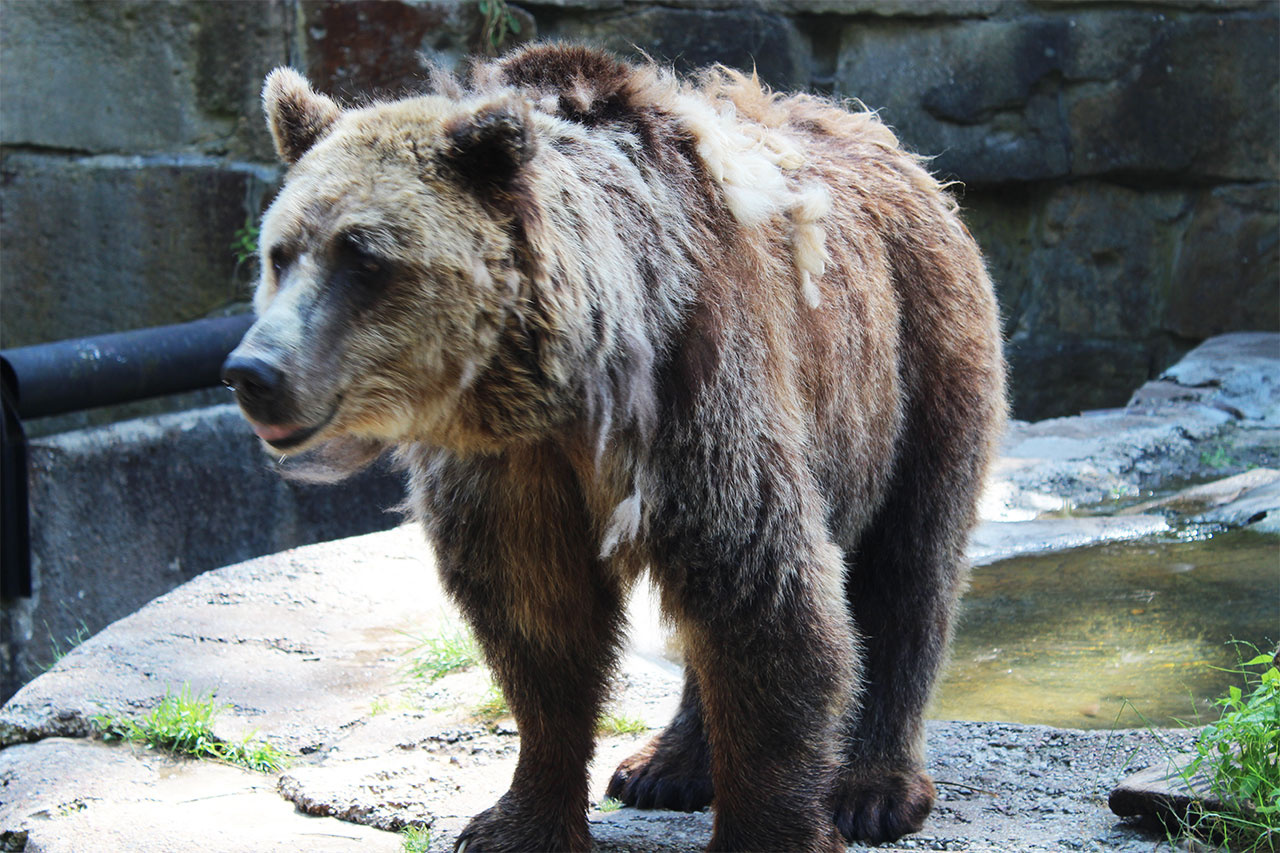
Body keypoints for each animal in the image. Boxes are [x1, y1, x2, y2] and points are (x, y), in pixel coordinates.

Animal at [221, 45, 1006, 853]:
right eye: (280, 254)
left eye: (365, 257)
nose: (255, 371)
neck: (563, 389)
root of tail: (884, 136)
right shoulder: (512, 468)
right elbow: (539, 623)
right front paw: (518, 821)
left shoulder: (695, 393)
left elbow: (766, 596)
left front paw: (773, 827)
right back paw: (665, 765)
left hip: (918, 356)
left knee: (908, 562)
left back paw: (873, 788)